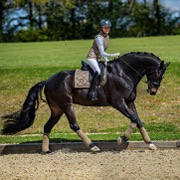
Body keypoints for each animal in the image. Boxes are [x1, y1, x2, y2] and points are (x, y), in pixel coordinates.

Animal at [1, 52, 170, 153]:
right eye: (158, 73)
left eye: (162, 76)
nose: (153, 91)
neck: (124, 73)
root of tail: (48, 80)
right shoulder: (118, 103)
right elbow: (134, 118)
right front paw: (121, 139)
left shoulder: (129, 103)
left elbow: (137, 120)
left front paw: (150, 143)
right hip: (66, 105)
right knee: (74, 125)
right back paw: (93, 146)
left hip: (57, 109)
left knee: (48, 126)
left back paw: (45, 149)